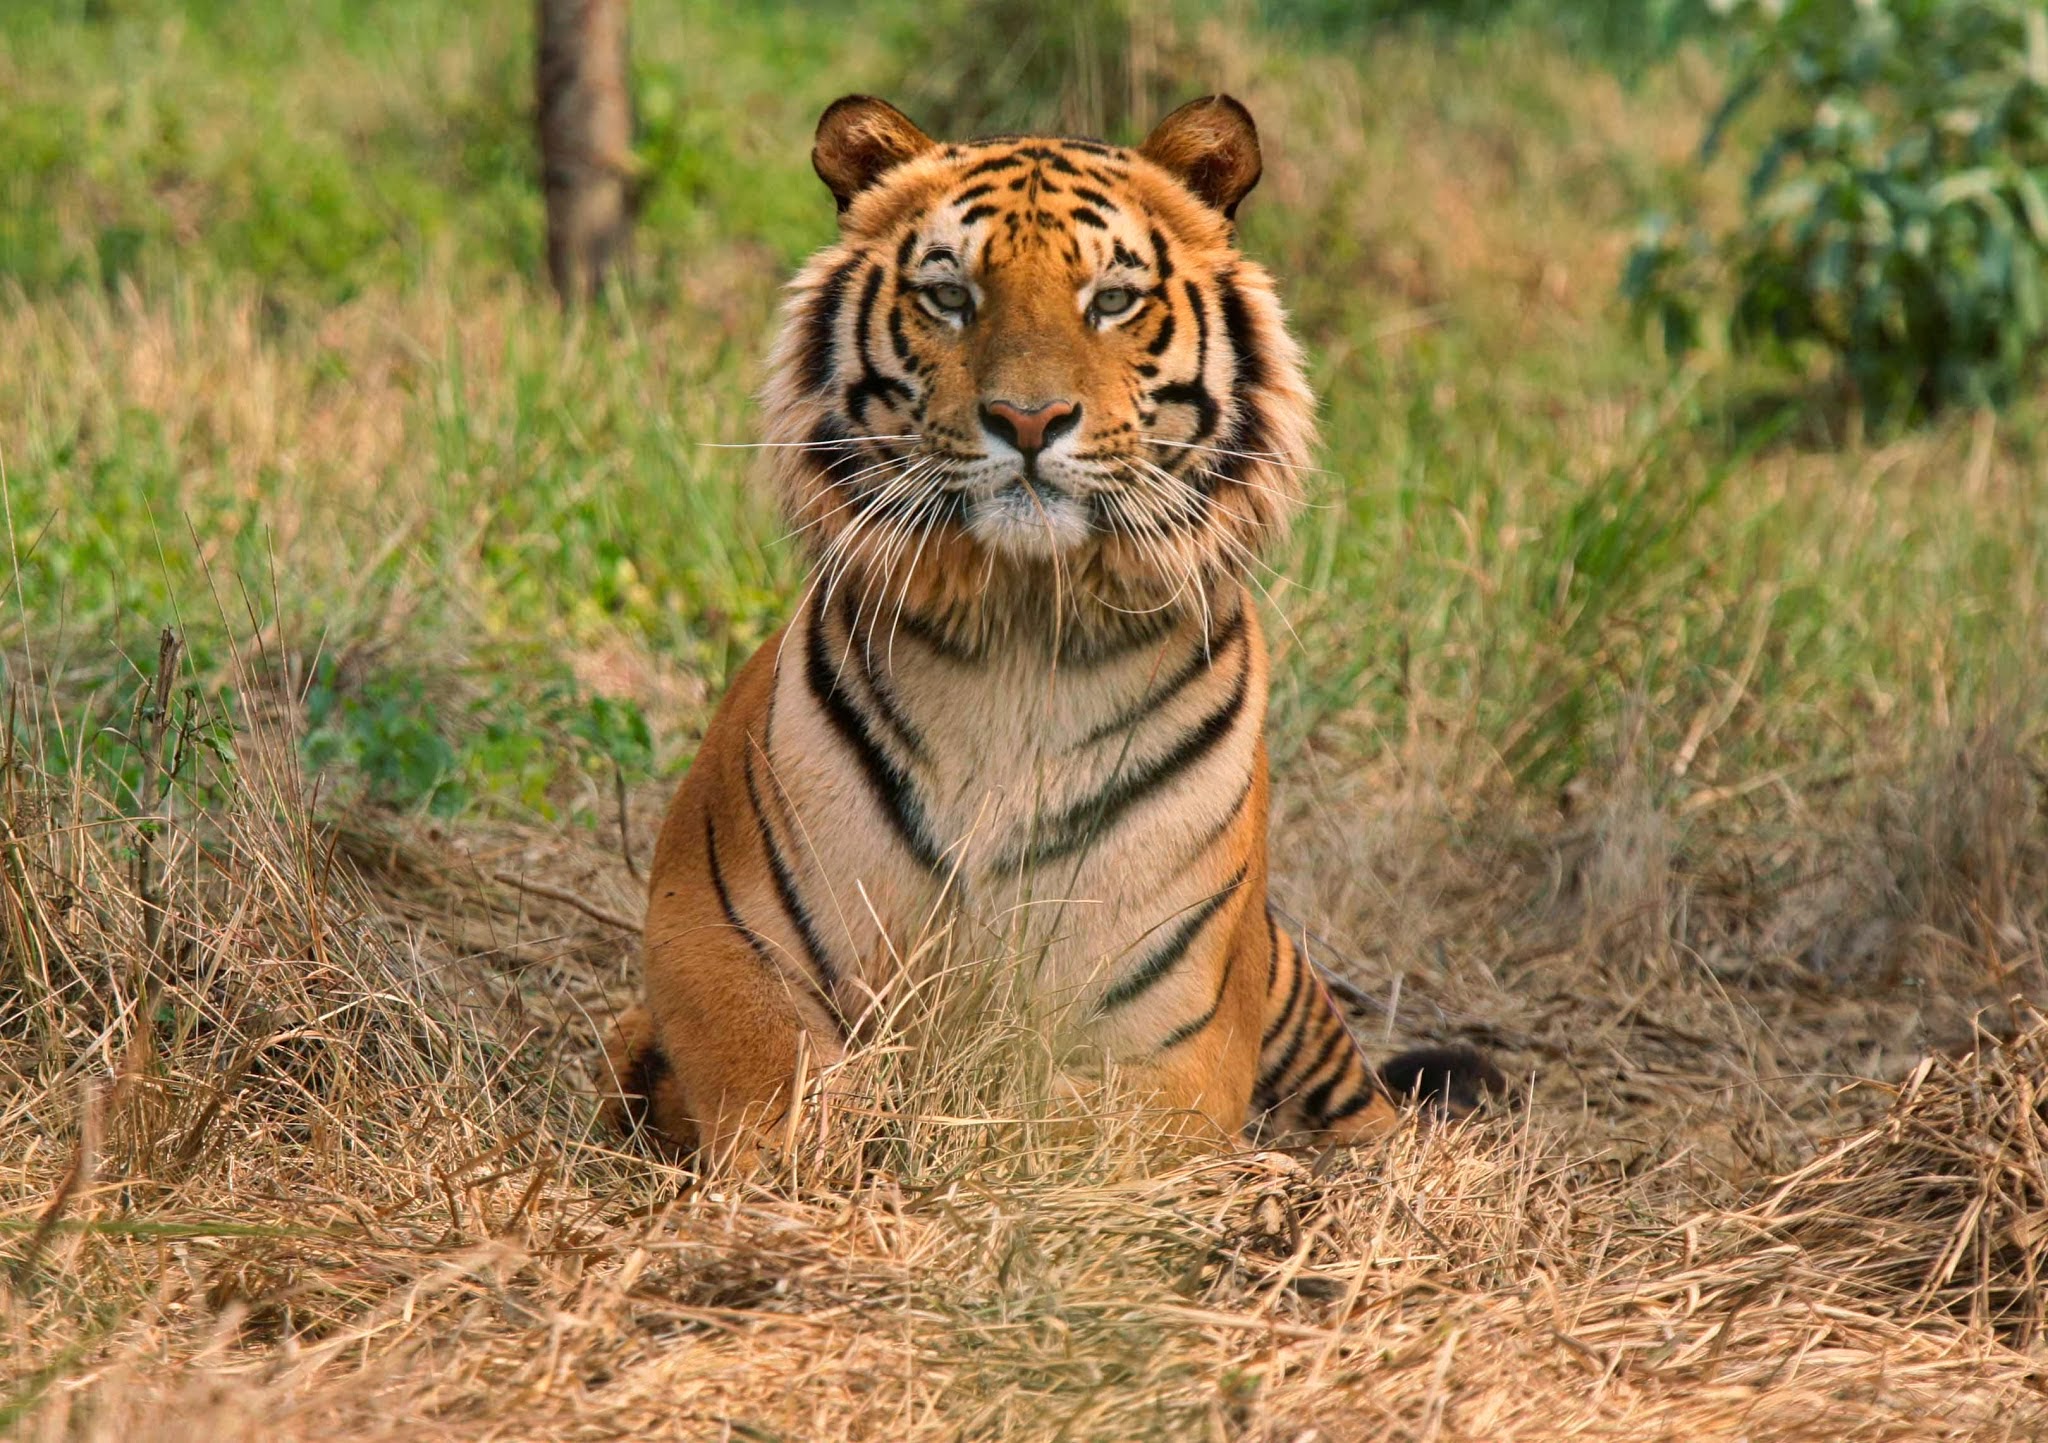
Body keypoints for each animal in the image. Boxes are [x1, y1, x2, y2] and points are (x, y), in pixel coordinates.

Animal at [598, 93, 1499, 1170]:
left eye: (1110, 299)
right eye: (949, 295)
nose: (1028, 420)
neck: (1020, 637)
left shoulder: (1172, 1034)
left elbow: (1052, 1135)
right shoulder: (709, 935)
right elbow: (776, 1083)